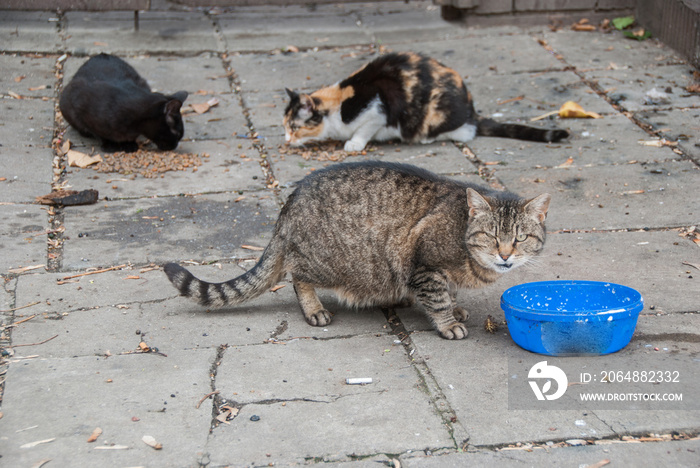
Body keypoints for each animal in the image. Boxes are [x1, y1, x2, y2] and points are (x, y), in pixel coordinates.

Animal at [59, 53, 189, 153]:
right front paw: (110, 144)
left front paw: (129, 144)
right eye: (177, 134)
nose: (174, 146)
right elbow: (99, 133)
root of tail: (100, 54)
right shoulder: (80, 107)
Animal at [165, 162, 552, 340]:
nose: (505, 255)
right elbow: (438, 298)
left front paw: (456, 308)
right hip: (327, 262)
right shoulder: (426, 264)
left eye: (520, 238)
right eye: (490, 236)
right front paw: (448, 322)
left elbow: (449, 292)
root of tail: (290, 202)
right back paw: (314, 308)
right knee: (296, 275)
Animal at [284, 52, 568, 152]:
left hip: (436, 118)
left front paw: (354, 143)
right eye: (285, 127)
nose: (286, 140)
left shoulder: (376, 107)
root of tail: (472, 111)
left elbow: (364, 130)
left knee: (465, 133)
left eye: (295, 127)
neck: (338, 105)